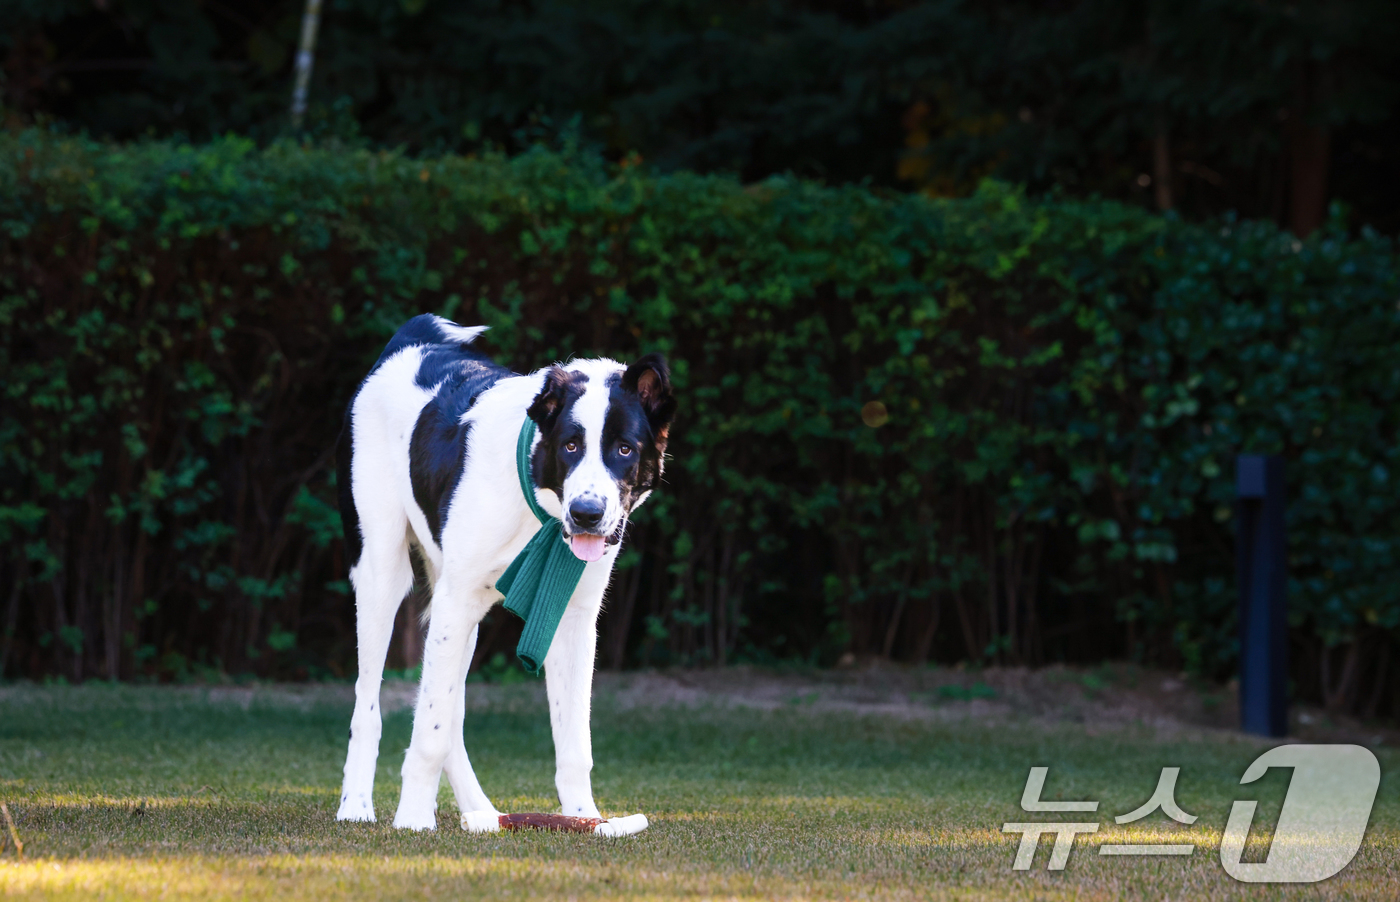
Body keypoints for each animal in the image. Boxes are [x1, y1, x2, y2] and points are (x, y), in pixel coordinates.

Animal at [333, 315, 672, 829]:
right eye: (570, 446)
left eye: (625, 449)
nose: (587, 514)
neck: (539, 502)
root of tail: (411, 339)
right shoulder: (452, 602)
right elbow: (428, 728)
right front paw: (413, 819)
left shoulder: (571, 619)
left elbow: (574, 741)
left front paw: (585, 817)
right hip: (382, 573)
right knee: (368, 705)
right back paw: (356, 805)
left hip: (459, 615)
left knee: (448, 712)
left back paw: (482, 812)